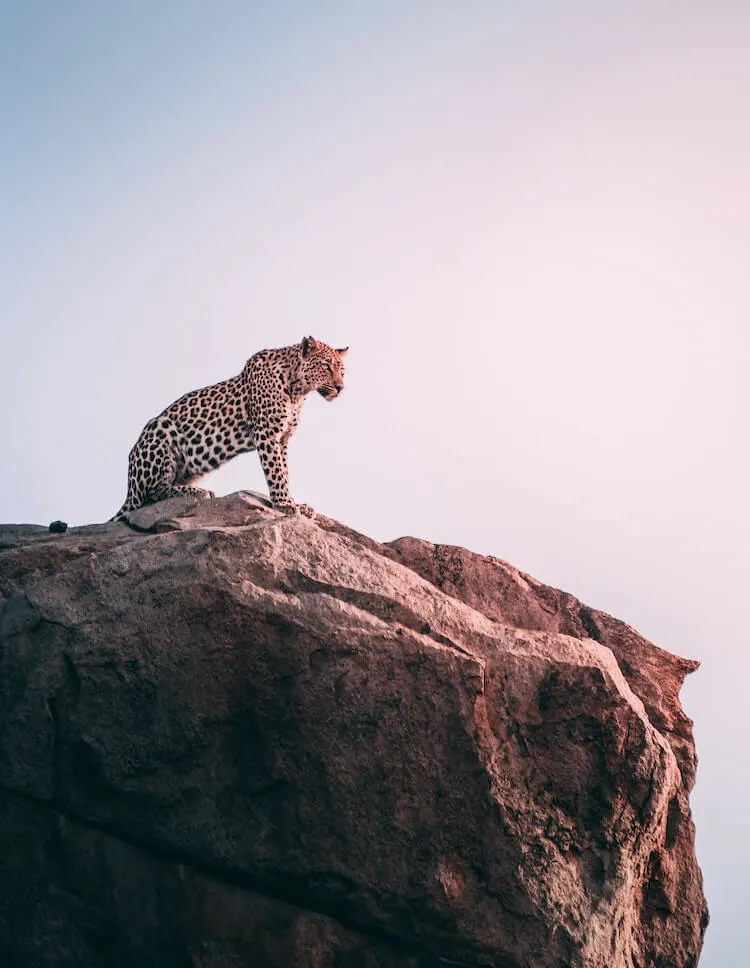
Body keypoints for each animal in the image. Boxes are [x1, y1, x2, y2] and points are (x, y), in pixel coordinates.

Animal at [111, 340, 350, 520]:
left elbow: (284, 472)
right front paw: (285, 504)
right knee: (151, 494)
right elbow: (276, 472)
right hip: (160, 428)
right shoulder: (267, 433)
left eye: (342, 371)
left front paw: (293, 502)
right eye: (326, 366)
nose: (340, 388)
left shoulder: (282, 438)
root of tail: (129, 489)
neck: (297, 392)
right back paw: (198, 492)